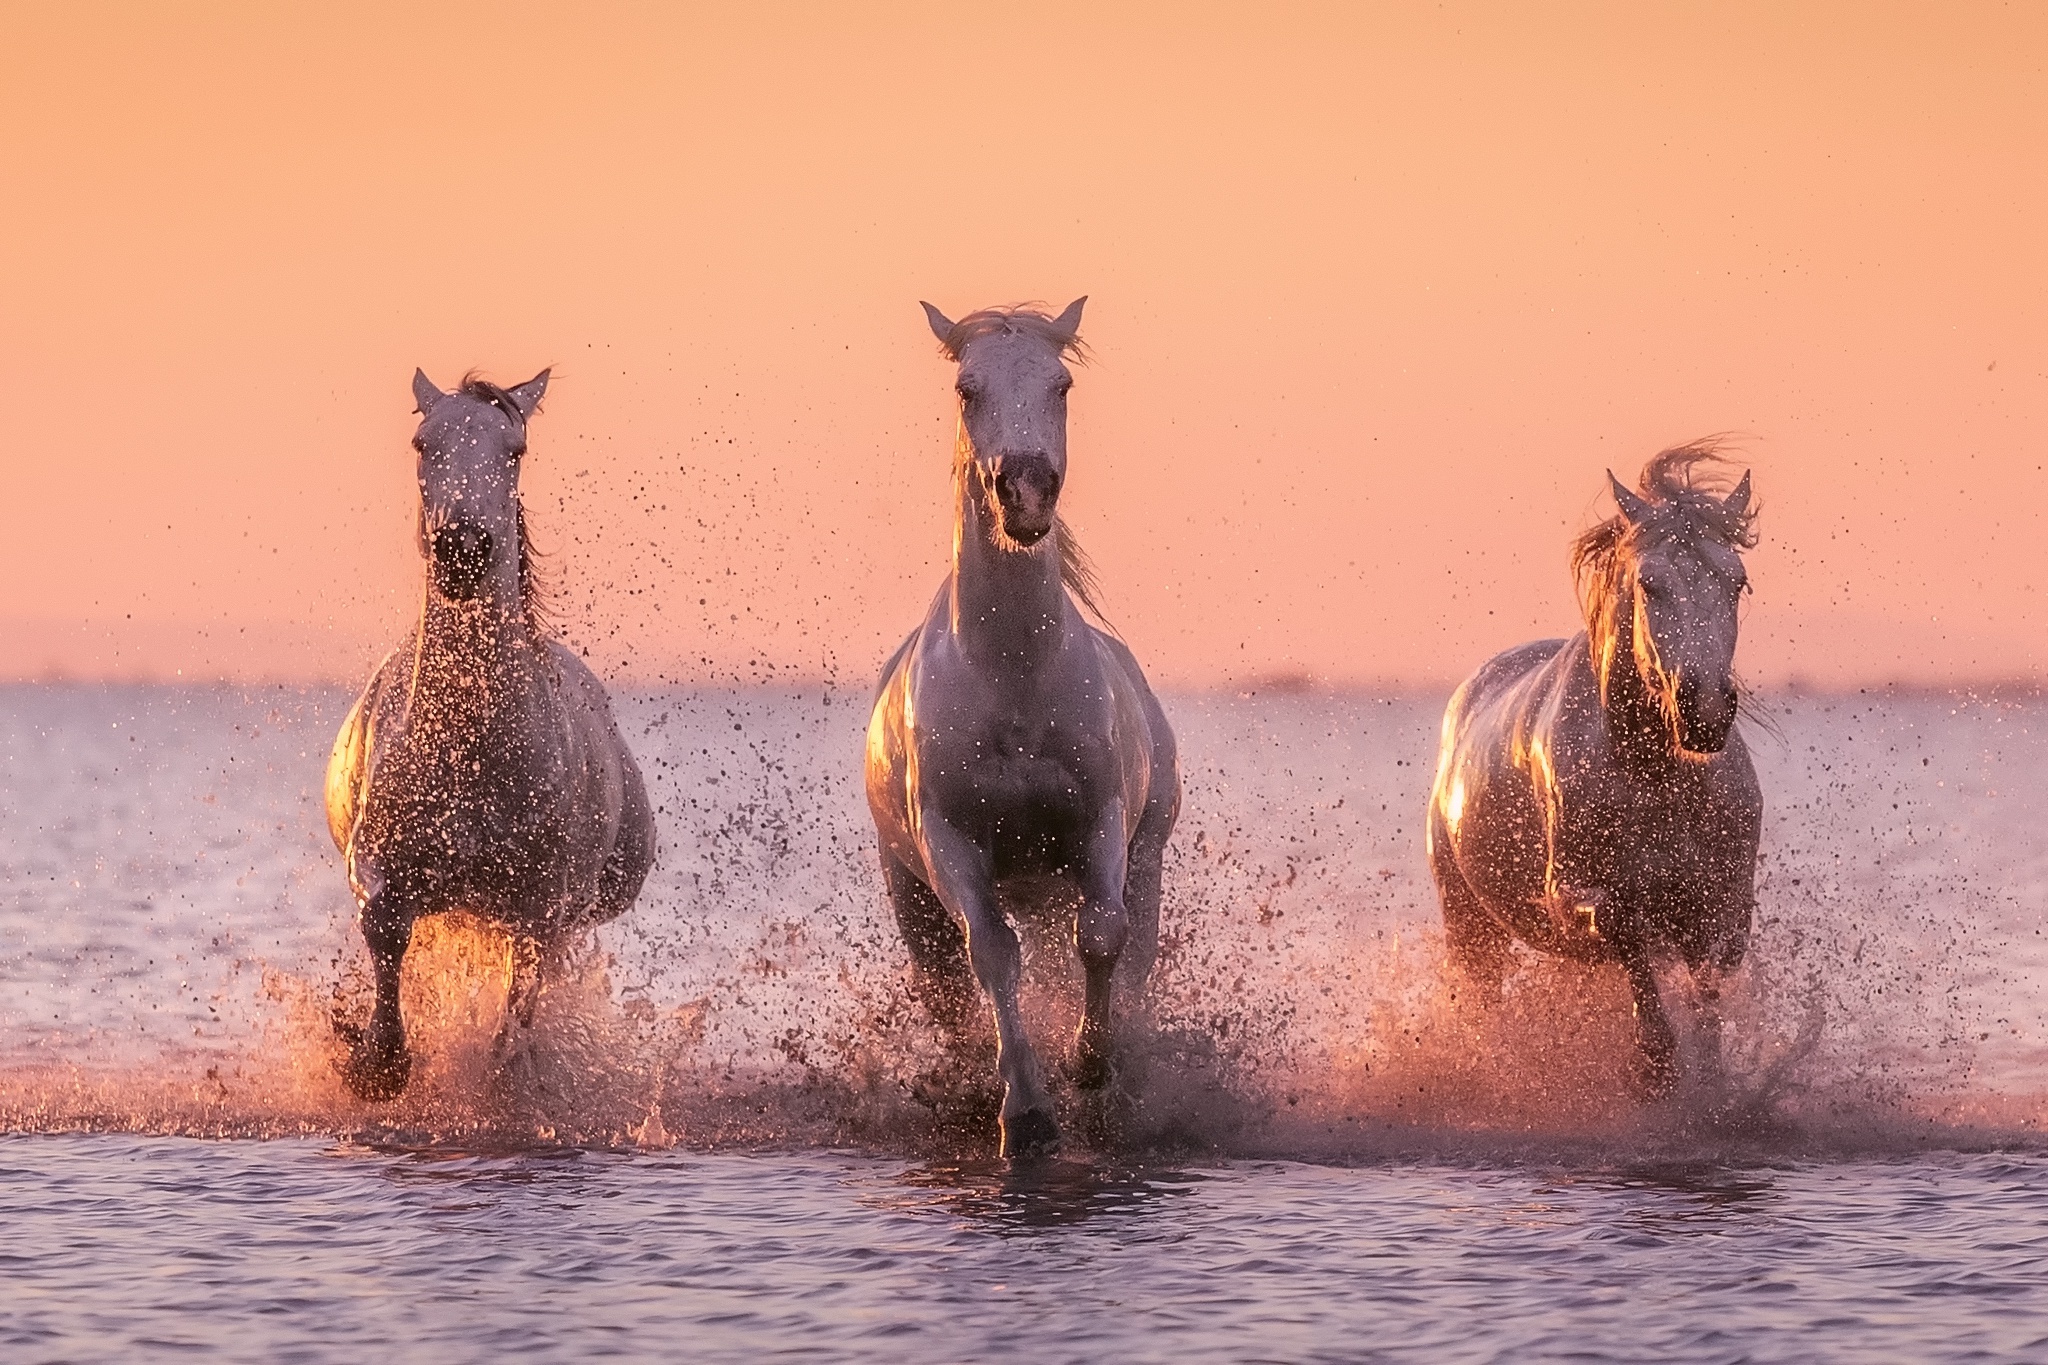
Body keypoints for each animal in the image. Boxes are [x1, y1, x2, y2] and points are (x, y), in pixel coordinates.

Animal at [325, 370, 655, 1096]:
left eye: (515, 449)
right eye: (423, 443)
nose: (463, 549)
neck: (468, 748)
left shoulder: (539, 906)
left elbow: (517, 1009)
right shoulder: (380, 863)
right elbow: (384, 929)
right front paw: (377, 1060)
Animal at [868, 300, 1187, 1162]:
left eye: (1061, 383)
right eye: (967, 387)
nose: (1027, 490)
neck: (1011, 677)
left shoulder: (1099, 821)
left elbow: (1102, 936)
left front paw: (1091, 1065)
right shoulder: (948, 844)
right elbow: (993, 956)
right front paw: (1027, 1113)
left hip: (1142, 853)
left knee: (1130, 948)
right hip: (913, 895)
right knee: (948, 988)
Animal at [1425, 448, 1761, 1096]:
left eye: (1737, 581)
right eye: (1650, 583)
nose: (1705, 710)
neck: (1655, 780)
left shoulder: (1724, 909)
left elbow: (1709, 995)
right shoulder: (1572, 899)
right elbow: (1623, 925)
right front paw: (1654, 1063)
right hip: (1471, 929)